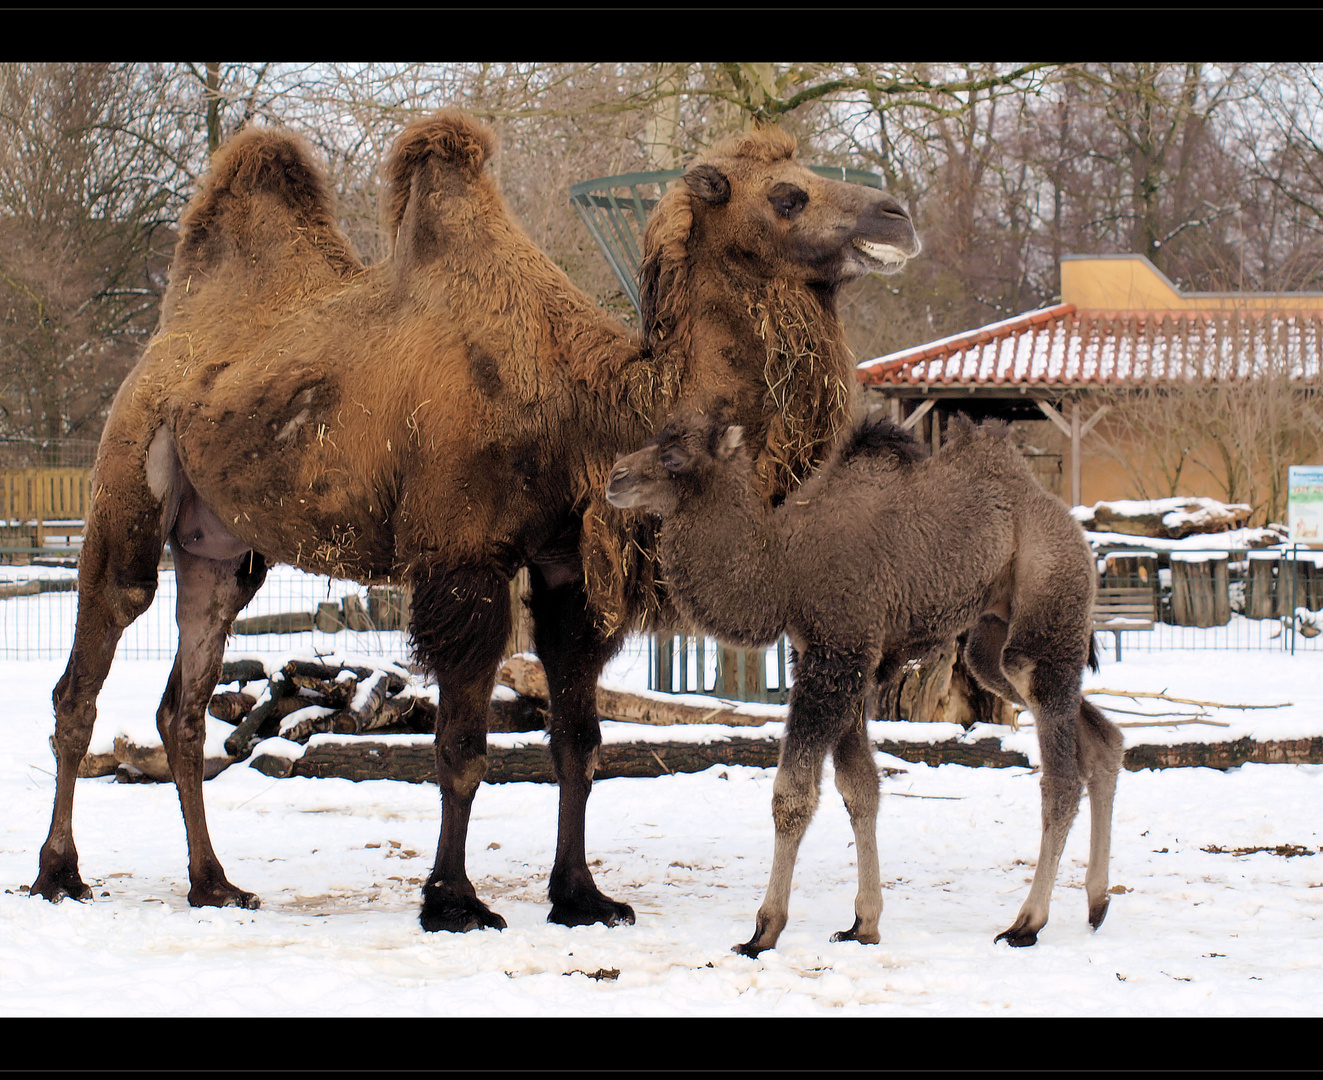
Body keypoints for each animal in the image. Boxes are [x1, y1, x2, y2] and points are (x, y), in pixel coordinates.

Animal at [31, 111, 920, 937]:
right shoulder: (463, 561)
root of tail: (164, 344)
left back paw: (214, 885)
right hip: (127, 480)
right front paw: (454, 901)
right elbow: (461, 747)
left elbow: (579, 743)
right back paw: (60, 874)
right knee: (88, 668)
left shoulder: (565, 570)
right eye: (787, 195)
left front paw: (582, 897)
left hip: (222, 548)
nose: (897, 217)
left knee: (181, 705)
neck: (582, 402)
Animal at [605, 410, 1121, 952]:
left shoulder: (835, 657)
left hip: (1049, 594)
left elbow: (792, 794)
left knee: (1059, 774)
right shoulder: (841, 664)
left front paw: (763, 930)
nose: (615, 478)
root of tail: (1065, 519)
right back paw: (1097, 902)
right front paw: (863, 924)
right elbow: (860, 789)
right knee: (1094, 733)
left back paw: (1028, 922)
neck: (785, 568)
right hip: (992, 637)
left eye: (674, 456)